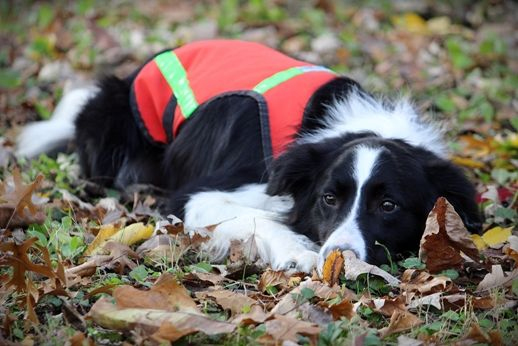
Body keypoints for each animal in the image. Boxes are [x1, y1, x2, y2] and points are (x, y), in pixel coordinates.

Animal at [18, 40, 482, 274]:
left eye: (388, 206)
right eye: (329, 199)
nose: (339, 256)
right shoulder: (198, 195)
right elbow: (258, 217)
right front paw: (298, 251)